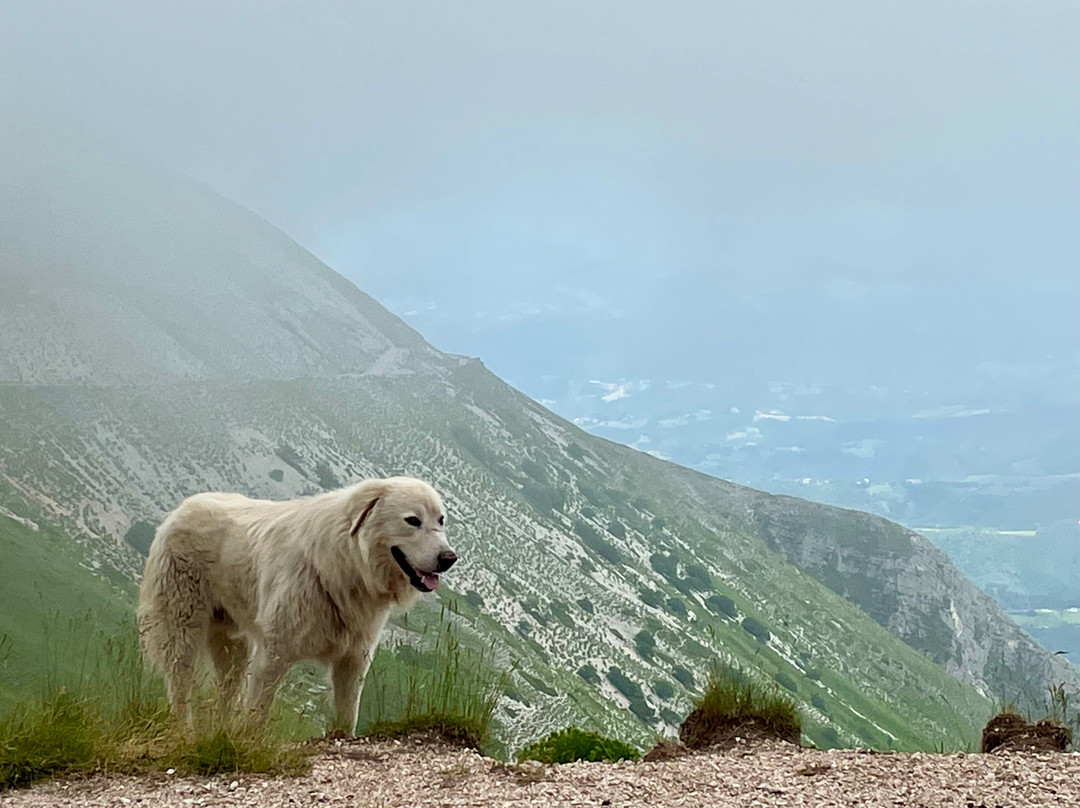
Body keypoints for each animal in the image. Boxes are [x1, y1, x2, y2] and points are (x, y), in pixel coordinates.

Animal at [136, 473, 455, 730]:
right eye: (413, 520)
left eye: (440, 521)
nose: (449, 558)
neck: (345, 564)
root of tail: (180, 509)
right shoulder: (273, 655)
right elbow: (256, 714)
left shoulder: (353, 660)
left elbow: (346, 718)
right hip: (183, 632)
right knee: (180, 687)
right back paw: (185, 733)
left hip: (233, 646)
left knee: (226, 693)